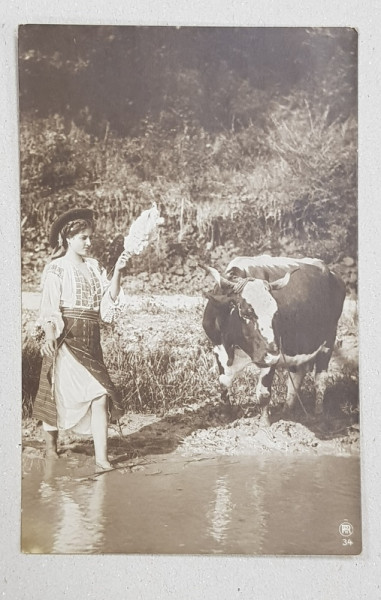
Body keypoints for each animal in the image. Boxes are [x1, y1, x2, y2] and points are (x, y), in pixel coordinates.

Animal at [202, 254, 344, 426]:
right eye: (246, 313)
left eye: (276, 313)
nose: (273, 353)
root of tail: (331, 272)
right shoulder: (218, 348)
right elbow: (223, 383)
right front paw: (225, 416)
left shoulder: (270, 356)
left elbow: (263, 392)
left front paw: (264, 423)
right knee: (296, 375)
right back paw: (287, 409)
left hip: (328, 340)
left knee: (320, 379)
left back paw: (318, 413)